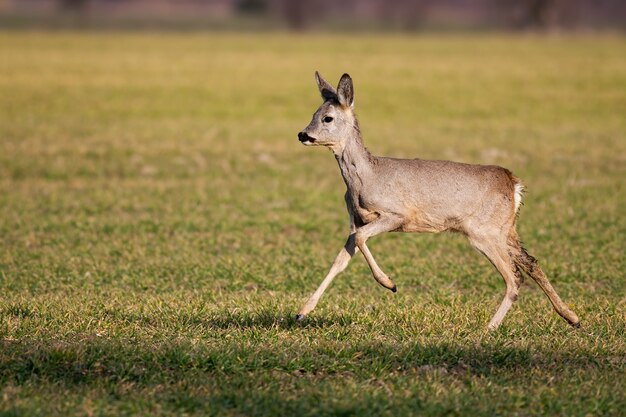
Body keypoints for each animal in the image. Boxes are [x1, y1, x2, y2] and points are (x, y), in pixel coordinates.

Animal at [294, 72, 576, 332]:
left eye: (327, 118)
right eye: (314, 113)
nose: (303, 134)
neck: (365, 178)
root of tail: (513, 183)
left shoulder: (398, 214)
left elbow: (361, 240)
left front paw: (390, 284)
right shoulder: (356, 221)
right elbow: (341, 259)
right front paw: (302, 312)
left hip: (484, 232)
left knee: (514, 276)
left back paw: (489, 328)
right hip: (505, 230)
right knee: (531, 263)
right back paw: (572, 318)